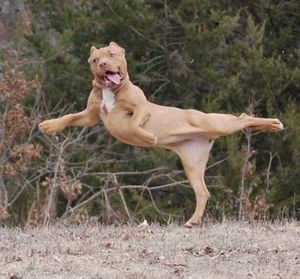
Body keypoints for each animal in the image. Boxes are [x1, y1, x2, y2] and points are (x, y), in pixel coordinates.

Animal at [39, 42, 284, 229]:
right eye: (94, 60)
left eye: (111, 54)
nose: (103, 64)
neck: (111, 91)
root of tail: (204, 134)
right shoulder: (90, 115)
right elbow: (70, 117)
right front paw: (49, 125)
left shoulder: (141, 109)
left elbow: (135, 124)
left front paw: (148, 138)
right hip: (192, 163)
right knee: (203, 192)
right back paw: (193, 220)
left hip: (215, 122)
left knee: (243, 118)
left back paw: (273, 124)